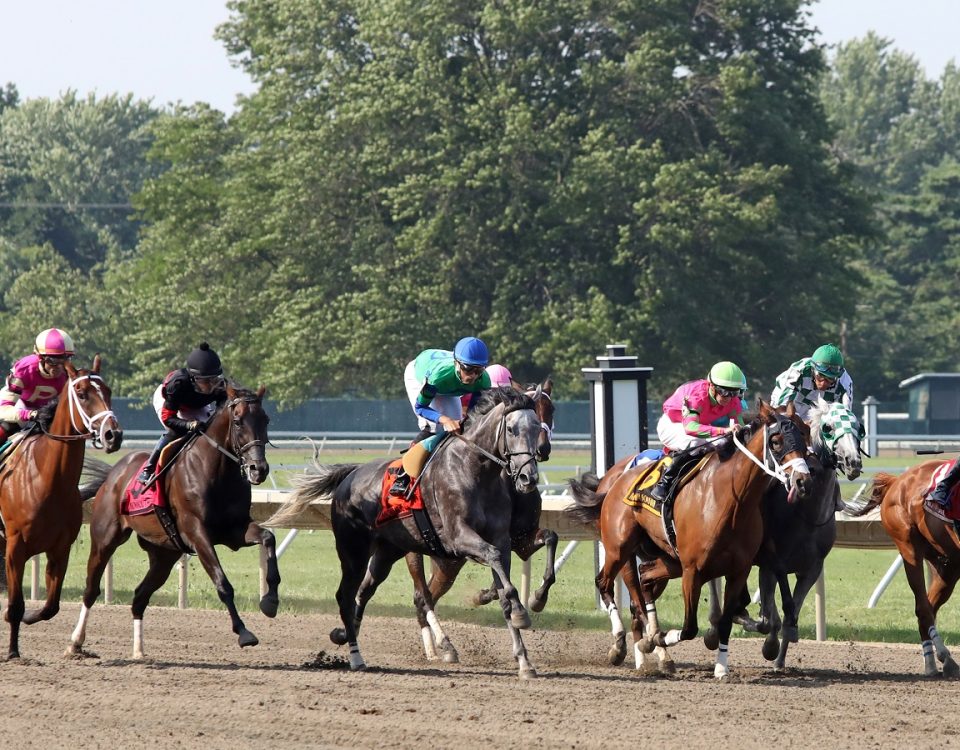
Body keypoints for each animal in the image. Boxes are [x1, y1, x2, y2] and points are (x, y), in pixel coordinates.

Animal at [0, 356, 123, 660]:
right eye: (82, 393)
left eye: (108, 391)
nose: (113, 435)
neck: (47, 479)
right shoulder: (15, 546)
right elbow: (15, 605)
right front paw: (13, 652)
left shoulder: (60, 548)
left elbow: (50, 607)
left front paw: (31, 617)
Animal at [65, 384, 278, 660]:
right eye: (239, 421)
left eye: (266, 419)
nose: (258, 469)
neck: (217, 472)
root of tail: (112, 475)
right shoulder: (198, 533)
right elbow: (222, 583)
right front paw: (244, 632)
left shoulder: (235, 530)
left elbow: (268, 538)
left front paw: (270, 601)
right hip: (105, 539)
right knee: (91, 589)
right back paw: (75, 642)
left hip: (164, 554)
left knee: (139, 597)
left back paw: (139, 651)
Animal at [266, 388, 544, 680]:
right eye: (511, 429)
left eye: (538, 427)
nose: (528, 477)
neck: (476, 470)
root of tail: (351, 474)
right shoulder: (458, 538)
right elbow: (494, 561)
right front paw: (522, 613)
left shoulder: (502, 539)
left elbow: (502, 588)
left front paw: (524, 659)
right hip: (353, 552)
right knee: (346, 595)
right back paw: (356, 656)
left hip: (387, 552)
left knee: (364, 591)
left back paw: (345, 634)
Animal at [568, 402, 812, 684]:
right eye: (776, 441)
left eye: (804, 435)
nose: (803, 481)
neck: (732, 501)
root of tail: (614, 480)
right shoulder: (692, 571)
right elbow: (689, 628)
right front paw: (660, 639)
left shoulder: (739, 569)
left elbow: (726, 620)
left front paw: (721, 668)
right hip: (620, 549)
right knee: (607, 584)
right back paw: (623, 646)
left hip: (666, 560)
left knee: (644, 580)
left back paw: (653, 651)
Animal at [848, 456, 960, 680]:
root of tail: (897, 480)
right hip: (909, 547)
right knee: (923, 608)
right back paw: (942, 659)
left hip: (947, 564)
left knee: (928, 608)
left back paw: (932, 662)